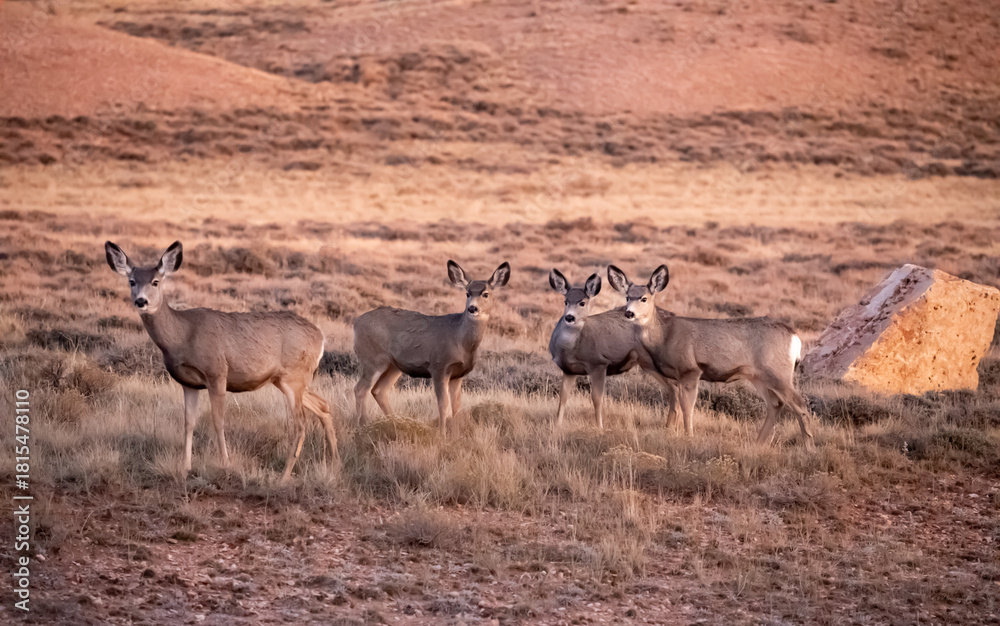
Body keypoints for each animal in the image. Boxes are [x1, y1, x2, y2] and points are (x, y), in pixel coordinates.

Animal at [104, 241, 340, 479]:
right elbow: (189, 422)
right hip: (285, 380)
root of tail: (320, 337)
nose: (141, 301)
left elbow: (218, 420)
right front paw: (185, 467)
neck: (183, 335)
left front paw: (225, 463)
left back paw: (283, 477)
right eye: (132, 281)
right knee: (324, 406)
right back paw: (334, 464)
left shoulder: (216, 372)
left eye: (155, 281)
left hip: (294, 376)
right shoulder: (188, 383)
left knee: (300, 424)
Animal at [353, 260, 511, 433]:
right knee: (360, 389)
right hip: (373, 359)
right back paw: (363, 426)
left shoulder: (458, 374)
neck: (460, 340)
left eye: (485, 294)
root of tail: (356, 323)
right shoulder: (439, 366)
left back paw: (394, 424)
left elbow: (456, 407)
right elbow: (443, 405)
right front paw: (442, 435)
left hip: (393, 365)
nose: (472, 308)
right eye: (467, 293)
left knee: (379, 390)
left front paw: (456, 435)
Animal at [548, 269, 679, 428]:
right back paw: (670, 426)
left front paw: (600, 427)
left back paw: (671, 426)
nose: (569, 317)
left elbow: (597, 399)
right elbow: (563, 397)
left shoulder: (598, 364)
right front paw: (557, 425)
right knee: (674, 388)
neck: (571, 348)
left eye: (582, 303)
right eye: (565, 301)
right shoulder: (569, 370)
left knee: (675, 387)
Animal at [607, 264, 816, 450]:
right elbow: (677, 405)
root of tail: (794, 337)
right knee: (775, 404)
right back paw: (758, 444)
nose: (629, 313)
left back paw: (809, 448)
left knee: (799, 404)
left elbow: (687, 408)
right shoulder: (675, 376)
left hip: (778, 372)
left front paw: (689, 437)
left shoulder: (690, 370)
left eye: (644, 298)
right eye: (627, 297)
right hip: (759, 376)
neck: (665, 335)